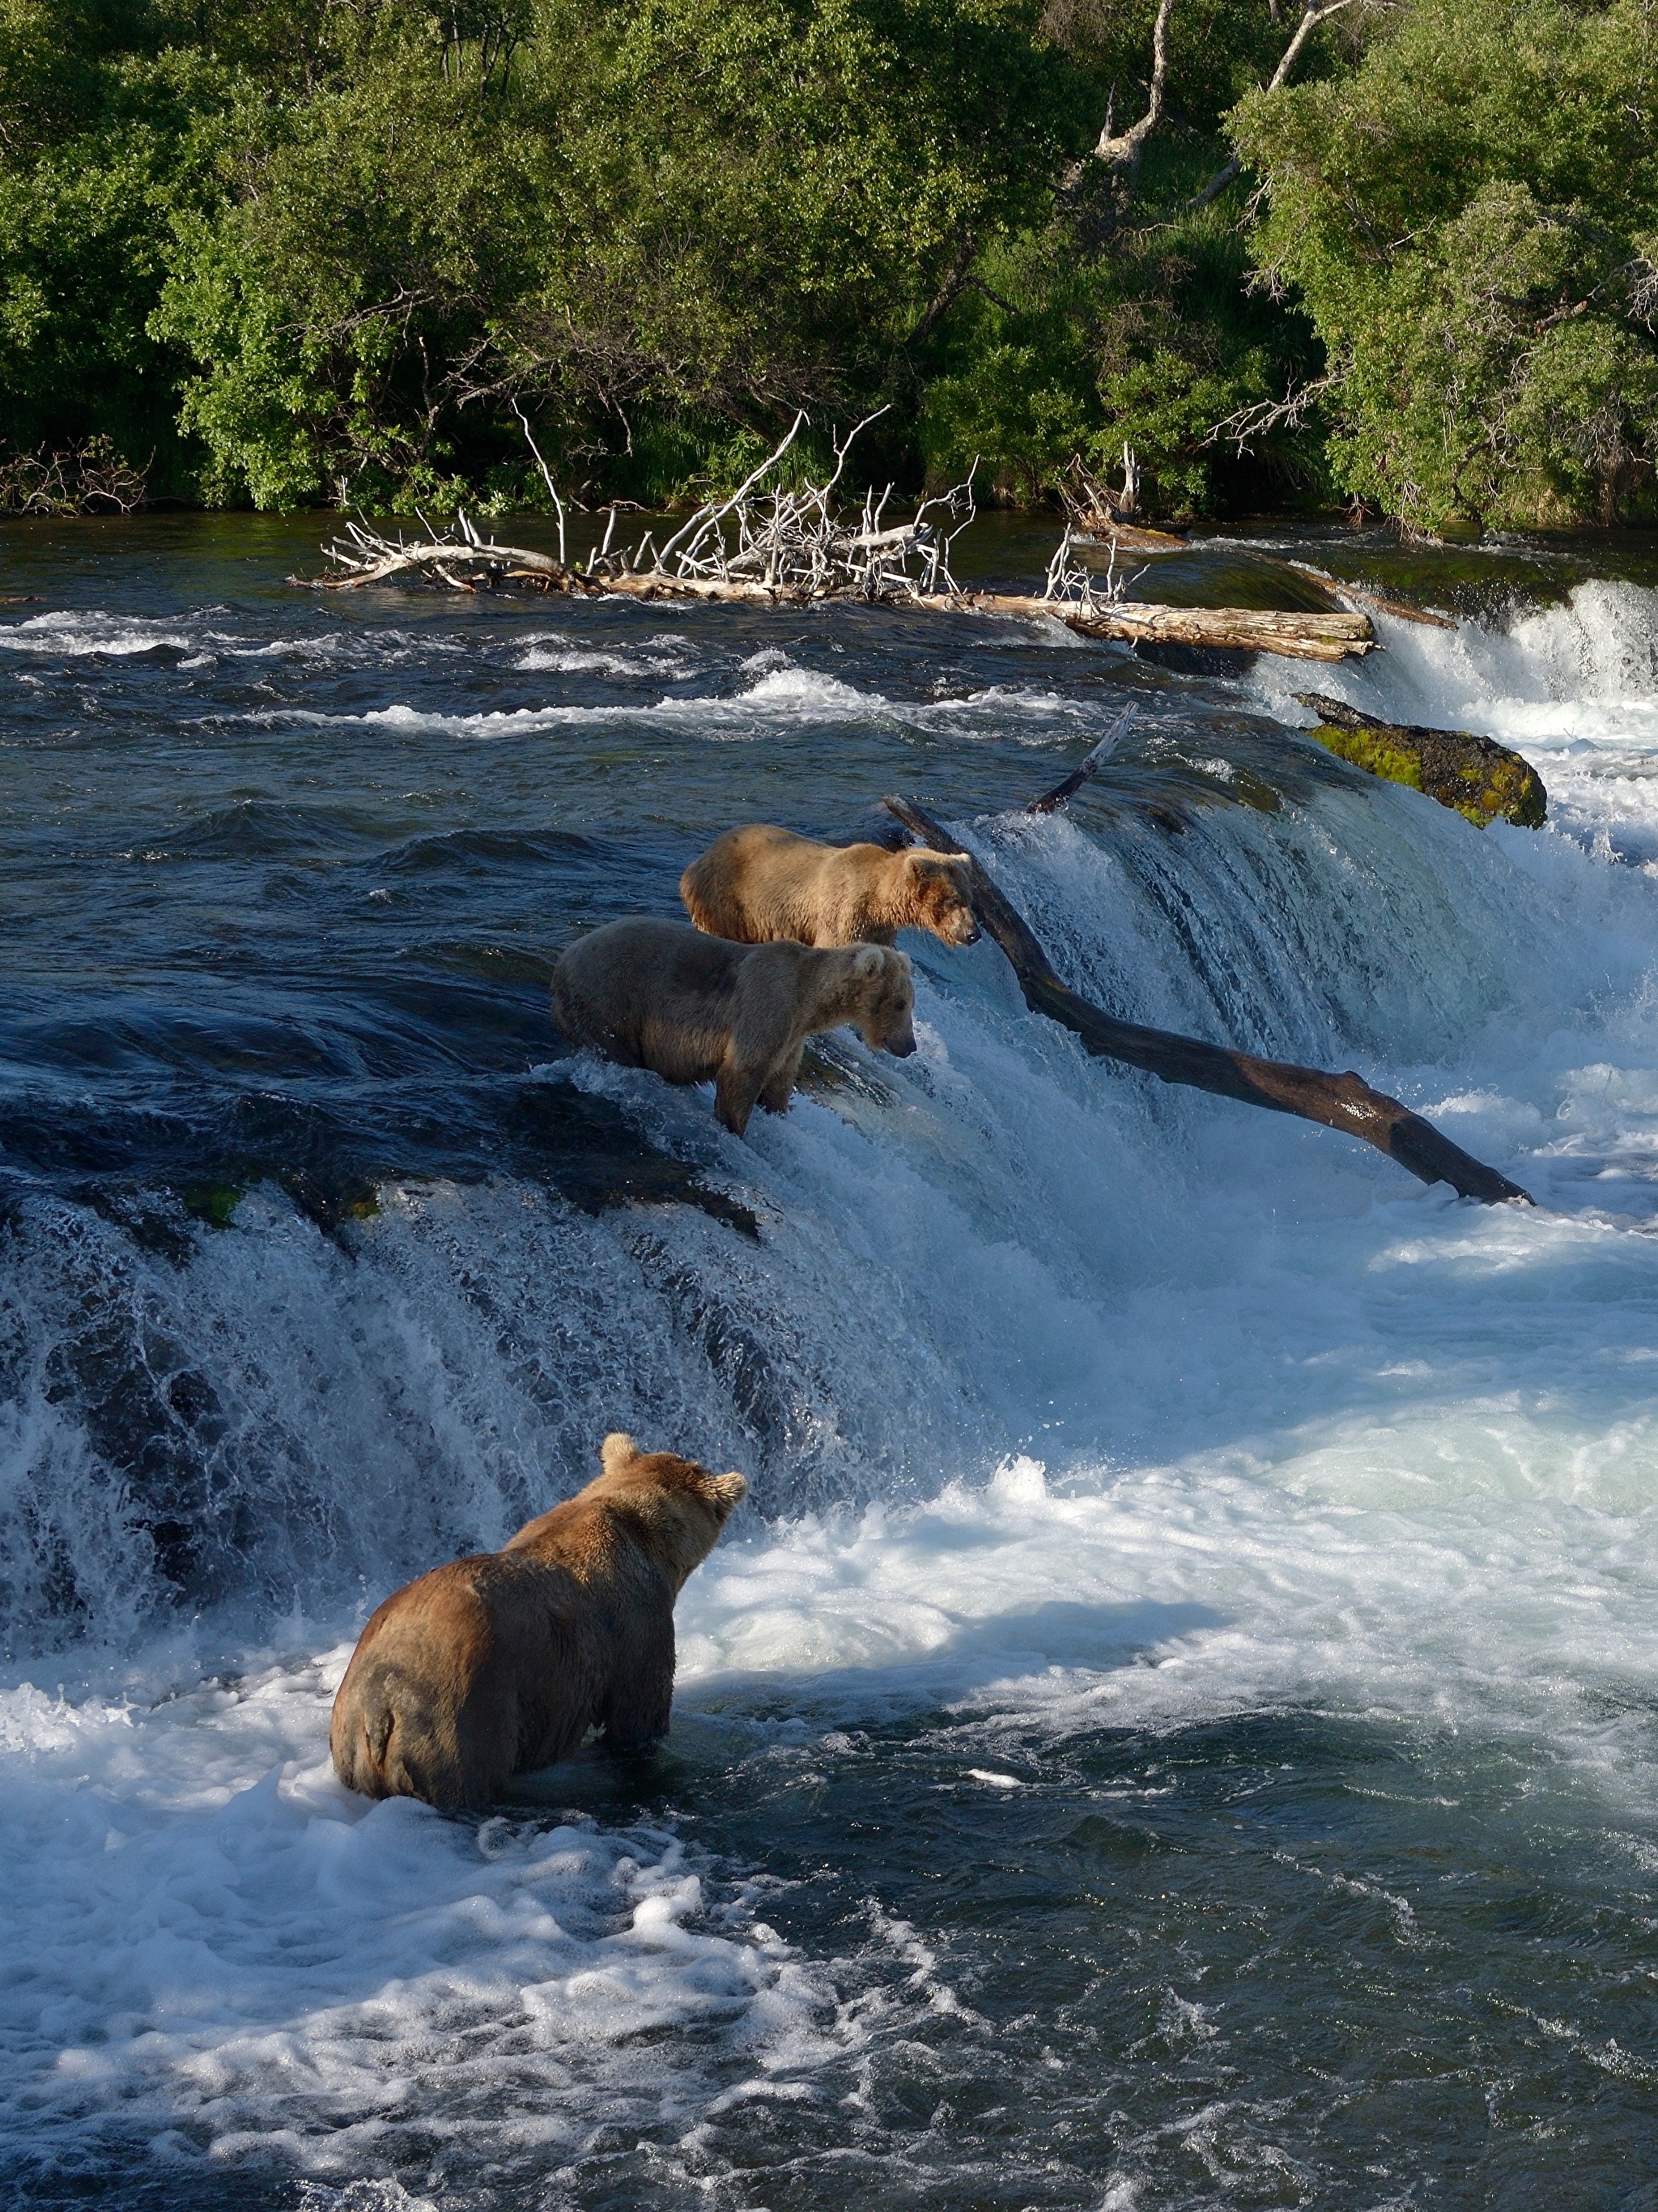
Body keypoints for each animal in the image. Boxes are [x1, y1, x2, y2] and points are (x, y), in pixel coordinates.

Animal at [555, 911, 924, 1132]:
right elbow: (740, 1075)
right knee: (615, 1046)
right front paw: (734, 1126)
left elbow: (778, 1086)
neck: (807, 1002)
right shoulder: (766, 1008)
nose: (910, 1046)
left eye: (910, 1003)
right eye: (900, 1003)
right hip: (609, 998)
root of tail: (565, 957)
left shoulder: (791, 1038)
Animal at [676, 823, 981, 942]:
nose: (973, 934)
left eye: (969, 900)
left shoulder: (878, 930)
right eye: (952, 900)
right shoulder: (844, 913)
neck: (880, 902)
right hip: (725, 899)